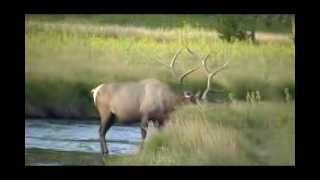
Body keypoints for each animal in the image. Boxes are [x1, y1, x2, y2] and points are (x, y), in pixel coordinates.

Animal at [91, 47, 229, 155]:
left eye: (201, 103)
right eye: (193, 102)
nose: (203, 113)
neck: (167, 103)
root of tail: (95, 90)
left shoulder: (161, 119)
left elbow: (160, 134)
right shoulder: (145, 114)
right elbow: (143, 134)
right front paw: (141, 151)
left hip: (113, 116)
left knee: (103, 131)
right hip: (105, 112)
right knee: (101, 131)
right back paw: (105, 152)